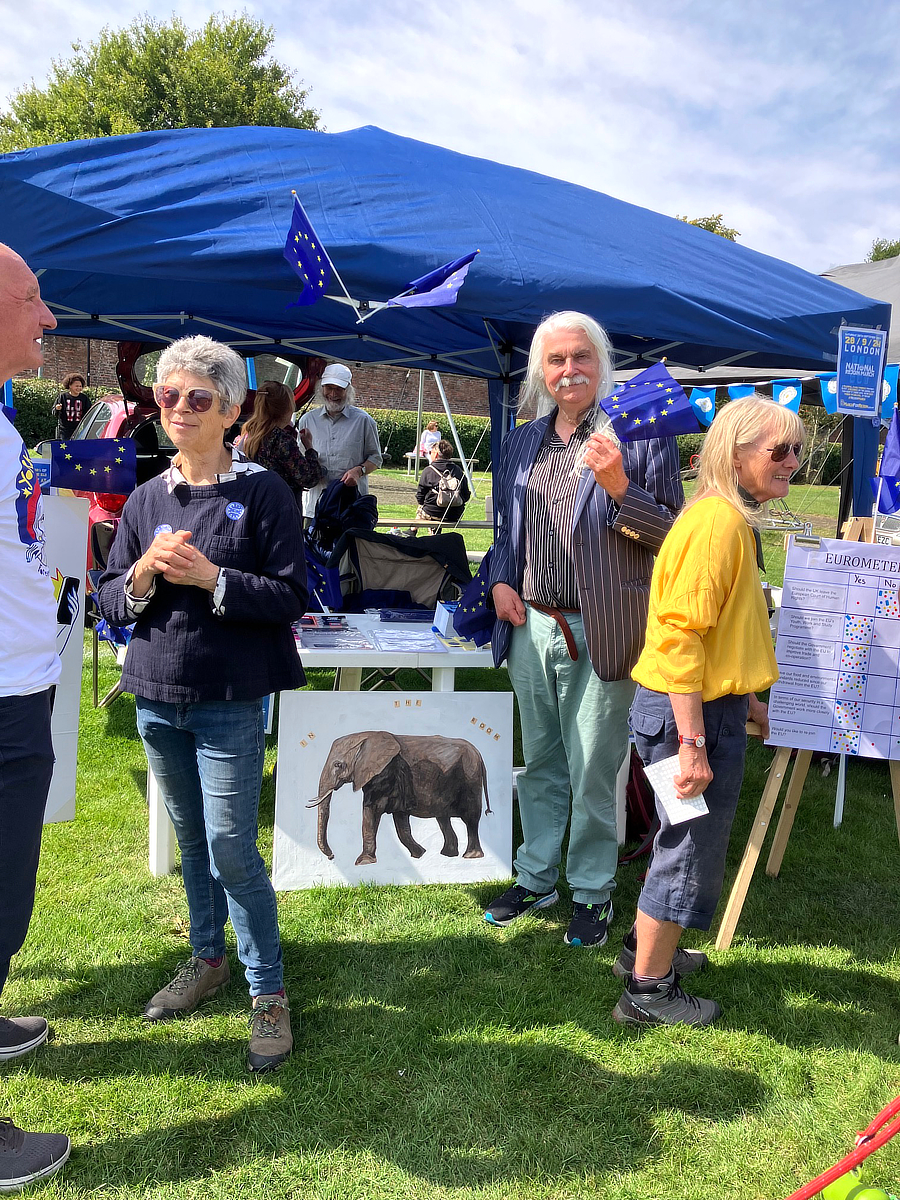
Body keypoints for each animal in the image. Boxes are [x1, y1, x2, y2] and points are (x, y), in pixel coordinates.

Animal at [309, 729, 494, 864]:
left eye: (338, 765)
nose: (332, 857)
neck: (367, 736)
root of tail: (479, 753)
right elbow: (400, 820)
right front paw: (419, 854)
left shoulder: (384, 773)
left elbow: (371, 811)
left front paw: (363, 862)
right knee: (443, 819)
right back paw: (448, 855)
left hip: (470, 778)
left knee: (471, 818)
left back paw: (470, 856)